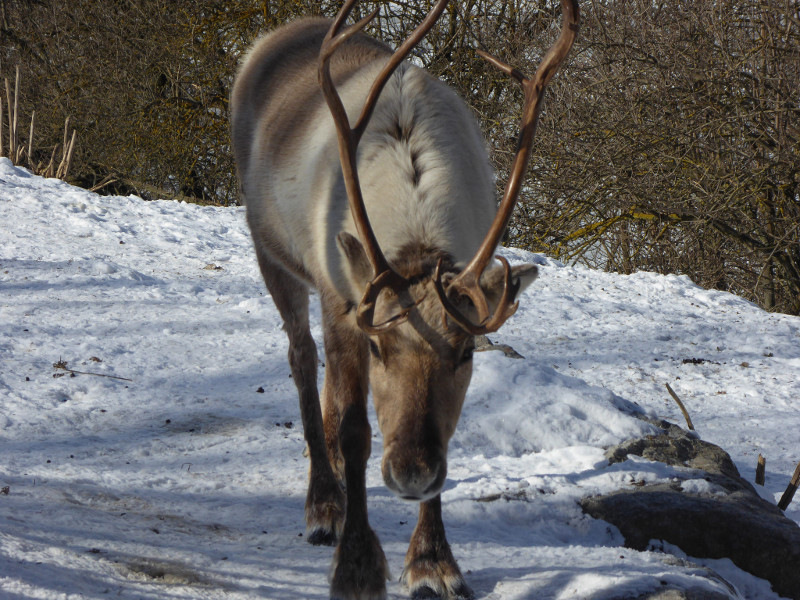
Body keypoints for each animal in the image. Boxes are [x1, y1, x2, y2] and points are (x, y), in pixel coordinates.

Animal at [230, 1, 578, 598]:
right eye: (379, 349)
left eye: (465, 355)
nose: (411, 474)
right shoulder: (344, 302)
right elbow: (355, 429)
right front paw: (356, 565)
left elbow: (441, 431)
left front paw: (434, 563)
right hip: (271, 253)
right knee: (302, 359)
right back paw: (325, 504)